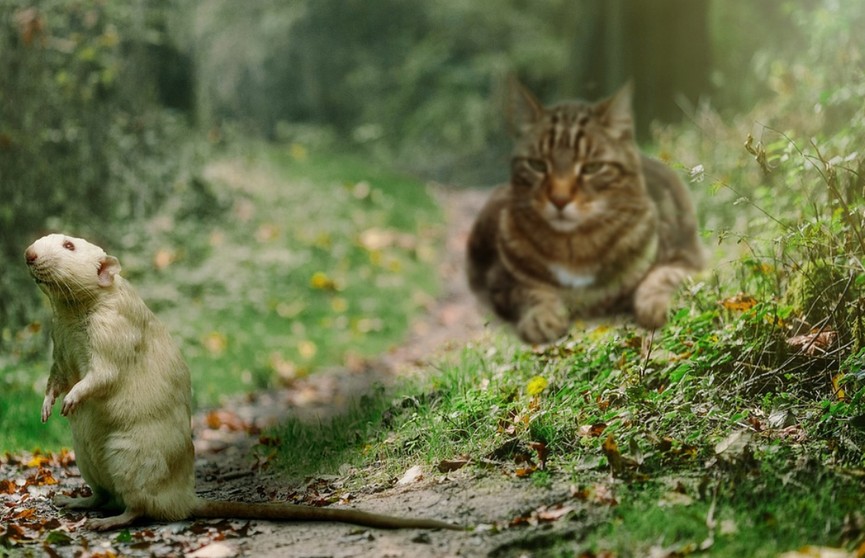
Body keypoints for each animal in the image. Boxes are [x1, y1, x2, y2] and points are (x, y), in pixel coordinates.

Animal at [466, 76, 704, 344]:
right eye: (537, 165)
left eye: (592, 168)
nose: (559, 199)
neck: (575, 247)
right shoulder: (500, 280)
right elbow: (530, 291)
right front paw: (542, 317)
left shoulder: (688, 258)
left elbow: (663, 276)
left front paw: (657, 306)